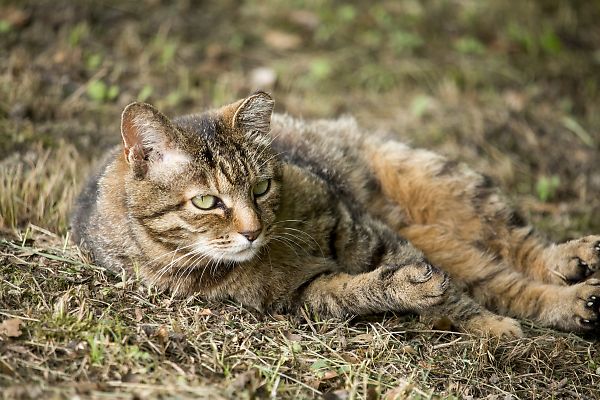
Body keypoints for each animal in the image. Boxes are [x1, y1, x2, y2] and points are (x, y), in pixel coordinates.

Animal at [72, 91, 600, 338]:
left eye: (262, 187)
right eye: (206, 202)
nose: (253, 231)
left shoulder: (361, 230)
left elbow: (455, 297)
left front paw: (487, 325)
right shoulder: (302, 296)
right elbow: (359, 291)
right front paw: (415, 292)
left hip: (444, 183)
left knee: (514, 247)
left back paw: (574, 264)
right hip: (440, 235)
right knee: (495, 276)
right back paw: (576, 300)